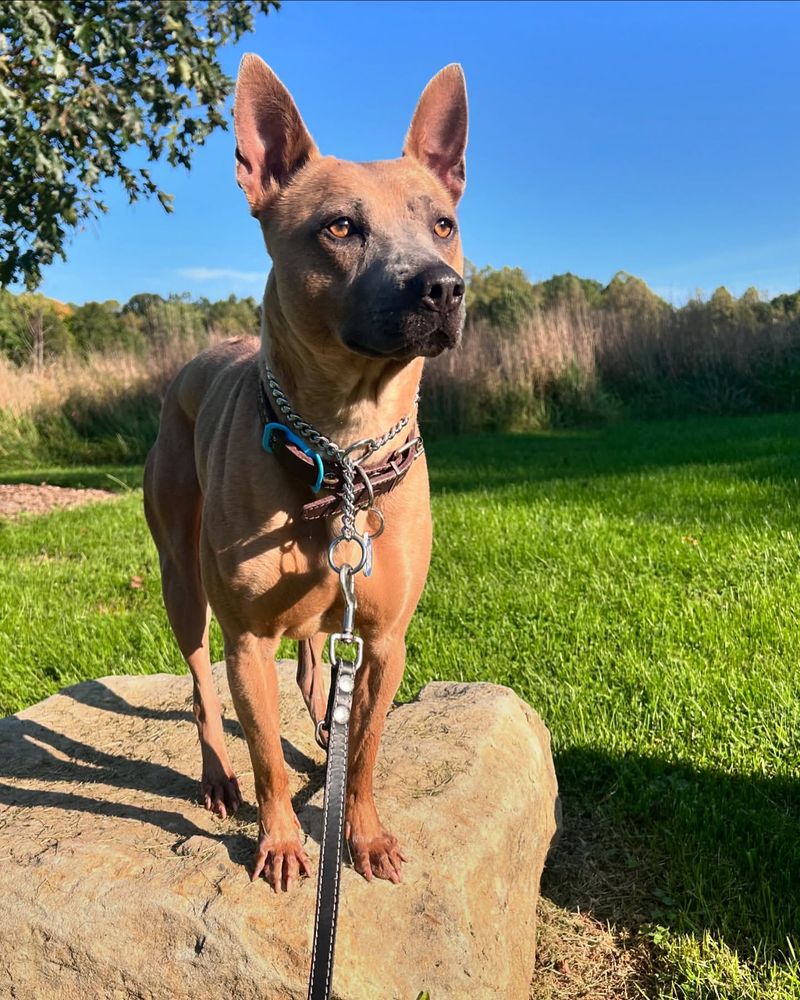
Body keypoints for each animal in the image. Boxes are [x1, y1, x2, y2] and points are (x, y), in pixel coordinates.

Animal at [144, 56, 468, 892]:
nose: (441, 287)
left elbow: (367, 750)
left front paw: (363, 834)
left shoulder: (384, 640)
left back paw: (323, 721)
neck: (341, 454)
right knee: (201, 685)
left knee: (315, 665)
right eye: (340, 227)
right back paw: (216, 775)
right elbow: (264, 753)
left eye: (443, 225)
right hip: (181, 578)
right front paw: (283, 843)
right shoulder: (247, 641)